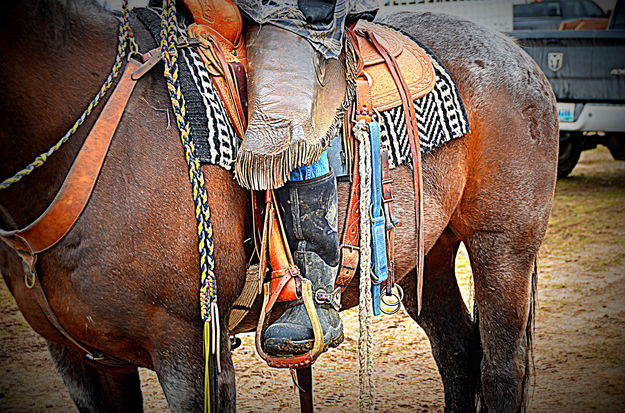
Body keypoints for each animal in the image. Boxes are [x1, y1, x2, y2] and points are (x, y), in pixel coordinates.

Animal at [0, 1, 556, 410]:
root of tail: (516, 53)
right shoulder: (82, 361)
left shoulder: (189, 351)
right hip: (426, 254)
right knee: (457, 352)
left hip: (503, 250)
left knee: (500, 368)